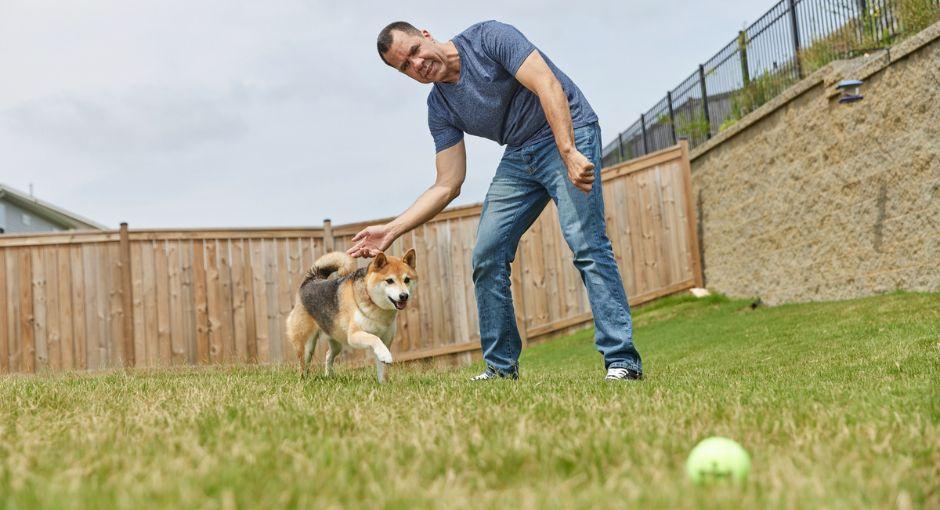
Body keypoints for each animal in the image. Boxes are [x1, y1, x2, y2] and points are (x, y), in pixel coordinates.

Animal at [284, 247, 416, 382]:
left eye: (407, 280)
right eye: (389, 281)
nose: (404, 296)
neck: (376, 306)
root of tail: (310, 280)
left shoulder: (386, 340)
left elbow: (383, 370)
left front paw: (383, 384)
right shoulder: (354, 336)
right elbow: (374, 338)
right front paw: (385, 355)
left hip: (336, 342)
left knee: (328, 355)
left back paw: (329, 376)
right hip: (306, 346)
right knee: (303, 365)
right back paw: (303, 380)